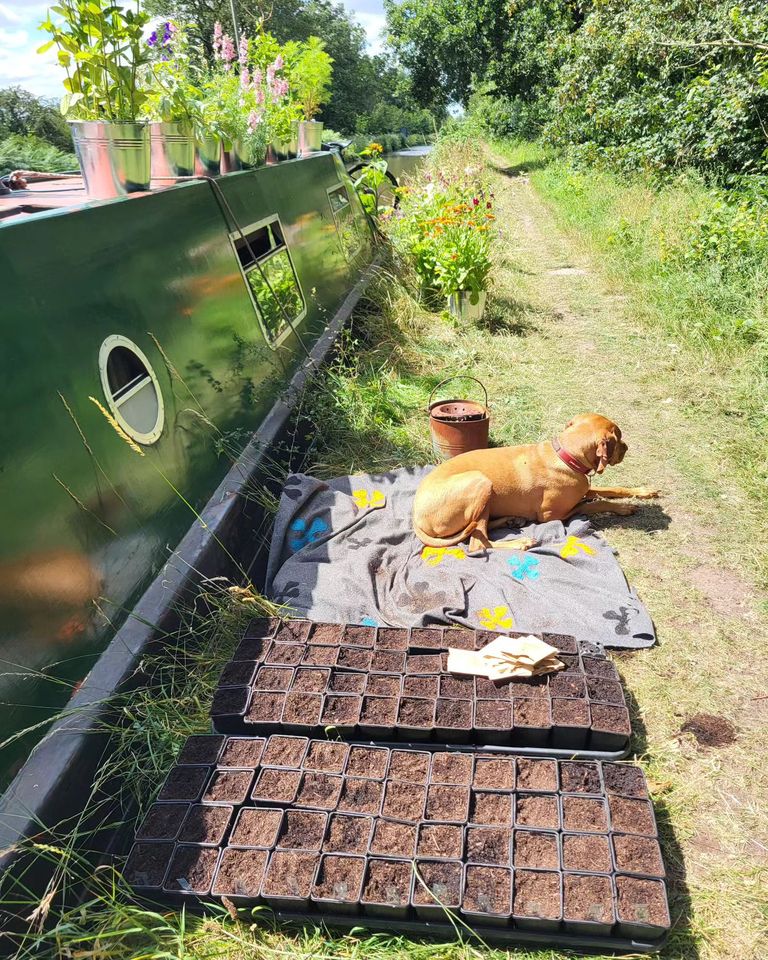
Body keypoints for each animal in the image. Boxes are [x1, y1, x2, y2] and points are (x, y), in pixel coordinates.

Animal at [414, 408, 660, 552]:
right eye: (619, 438)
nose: (627, 448)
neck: (564, 456)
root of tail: (415, 516)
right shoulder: (552, 515)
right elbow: (594, 504)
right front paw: (624, 508)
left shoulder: (583, 487)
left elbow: (612, 489)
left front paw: (642, 492)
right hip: (481, 482)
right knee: (477, 543)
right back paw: (520, 541)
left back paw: (511, 520)